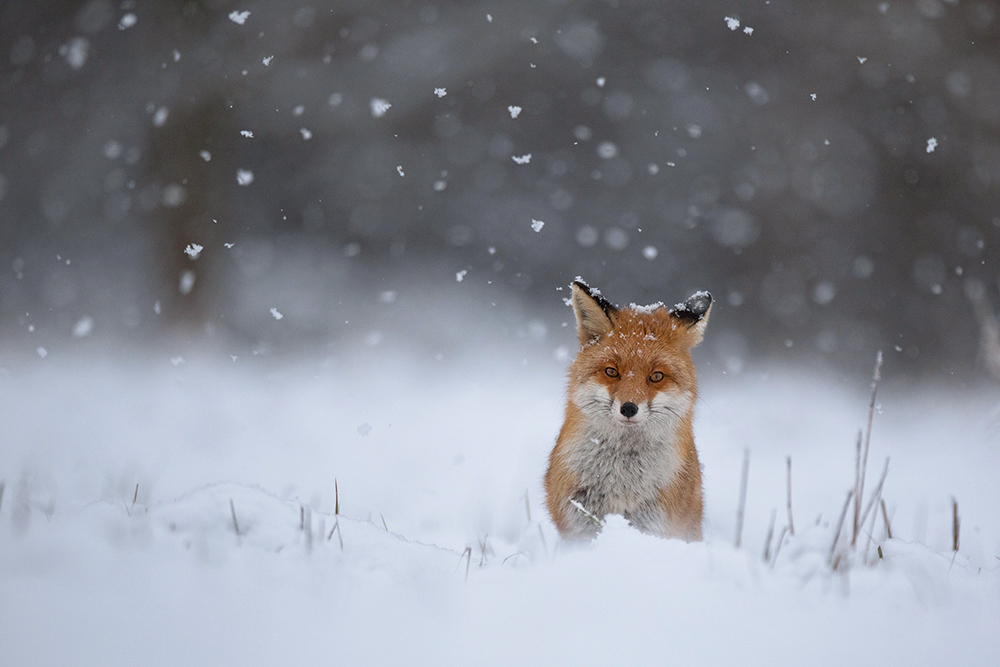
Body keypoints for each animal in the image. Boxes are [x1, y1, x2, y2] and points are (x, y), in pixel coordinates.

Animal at [548, 280, 712, 544]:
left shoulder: (656, 524)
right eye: (611, 371)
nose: (628, 408)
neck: (623, 478)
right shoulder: (578, 526)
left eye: (656, 376)